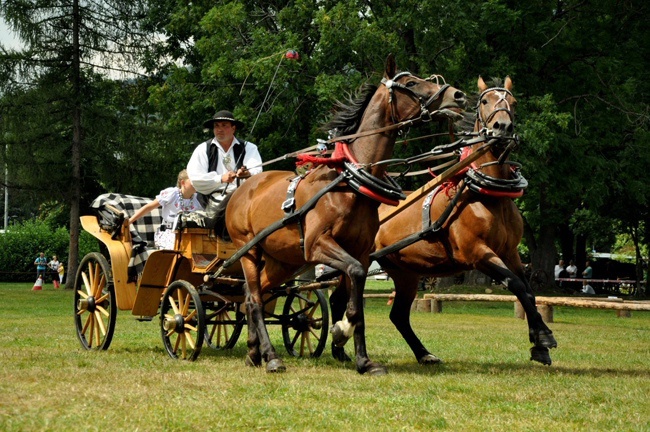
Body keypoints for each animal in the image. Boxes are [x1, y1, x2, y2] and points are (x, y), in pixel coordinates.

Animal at [220, 56, 464, 374]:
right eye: (411, 83)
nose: (457, 96)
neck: (350, 183)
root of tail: (241, 187)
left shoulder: (359, 250)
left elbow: (356, 302)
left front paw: (364, 360)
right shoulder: (318, 245)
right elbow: (355, 279)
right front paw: (340, 331)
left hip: (282, 261)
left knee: (251, 296)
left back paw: (253, 352)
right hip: (248, 251)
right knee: (255, 299)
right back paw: (271, 356)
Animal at [372, 77, 556, 364]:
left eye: (513, 102)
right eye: (484, 101)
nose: (502, 127)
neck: (489, 195)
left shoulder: (510, 252)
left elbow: (527, 290)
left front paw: (538, 340)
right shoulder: (478, 253)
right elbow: (517, 285)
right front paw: (544, 337)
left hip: (405, 273)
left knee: (398, 315)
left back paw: (424, 354)